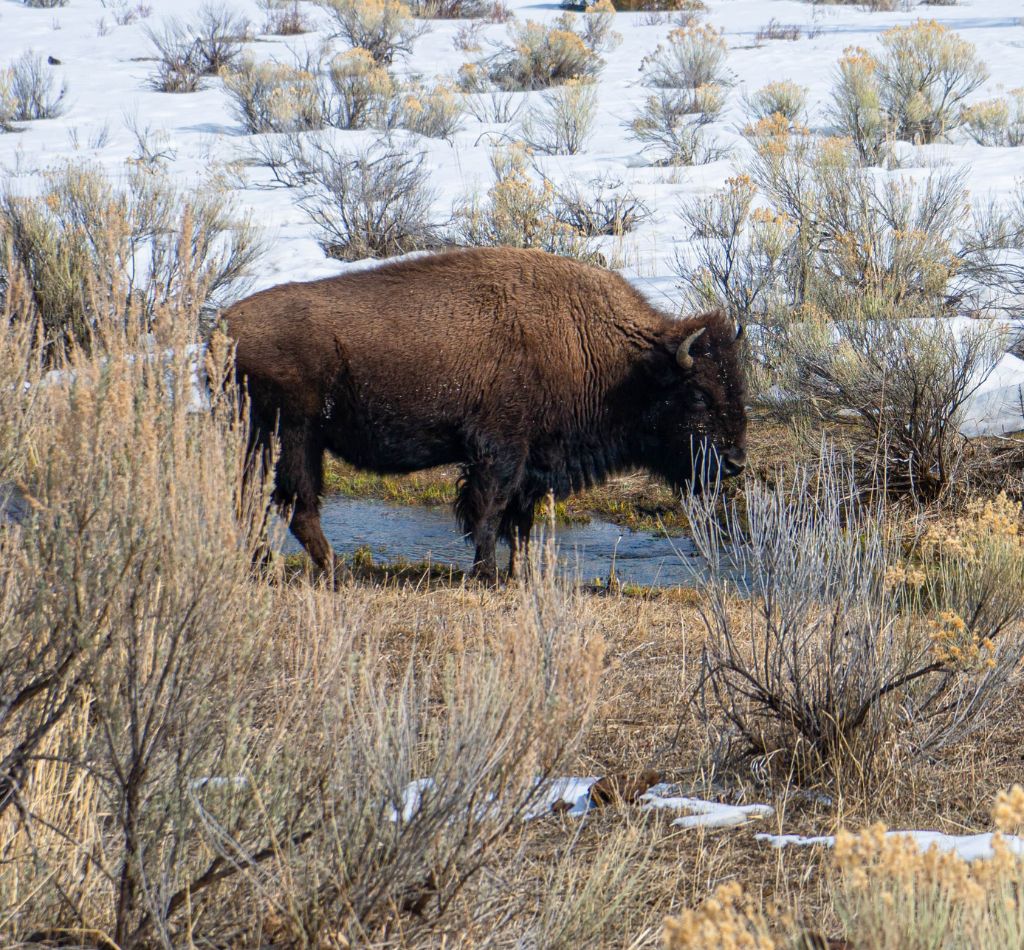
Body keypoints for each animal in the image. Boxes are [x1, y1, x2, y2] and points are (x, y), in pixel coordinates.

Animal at [228, 244, 749, 581]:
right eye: (698, 396)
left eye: (738, 387)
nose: (736, 462)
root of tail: (226, 324)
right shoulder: (500, 452)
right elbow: (490, 513)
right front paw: (489, 574)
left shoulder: (535, 462)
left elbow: (519, 523)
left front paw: (520, 575)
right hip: (293, 436)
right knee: (297, 506)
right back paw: (335, 573)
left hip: (267, 440)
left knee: (257, 502)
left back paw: (266, 567)